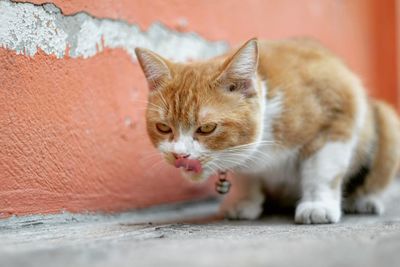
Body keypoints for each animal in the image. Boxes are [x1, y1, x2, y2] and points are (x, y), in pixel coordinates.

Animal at [135, 38, 400, 224]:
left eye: (207, 128)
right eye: (163, 127)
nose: (179, 155)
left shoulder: (338, 111)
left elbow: (322, 171)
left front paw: (318, 205)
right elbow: (245, 176)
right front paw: (244, 201)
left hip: (387, 122)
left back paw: (364, 200)